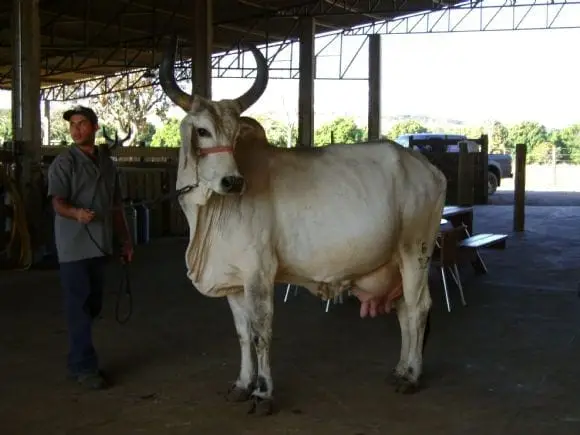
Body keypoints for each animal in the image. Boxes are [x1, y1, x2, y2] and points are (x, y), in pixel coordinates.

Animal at [159, 37, 448, 416]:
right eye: (203, 131)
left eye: (234, 135)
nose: (233, 182)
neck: (209, 211)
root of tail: (428, 167)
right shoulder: (235, 281)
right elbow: (242, 333)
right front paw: (242, 384)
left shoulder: (259, 273)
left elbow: (260, 332)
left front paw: (262, 393)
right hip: (396, 262)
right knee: (402, 311)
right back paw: (400, 369)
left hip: (416, 252)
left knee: (418, 309)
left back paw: (411, 376)